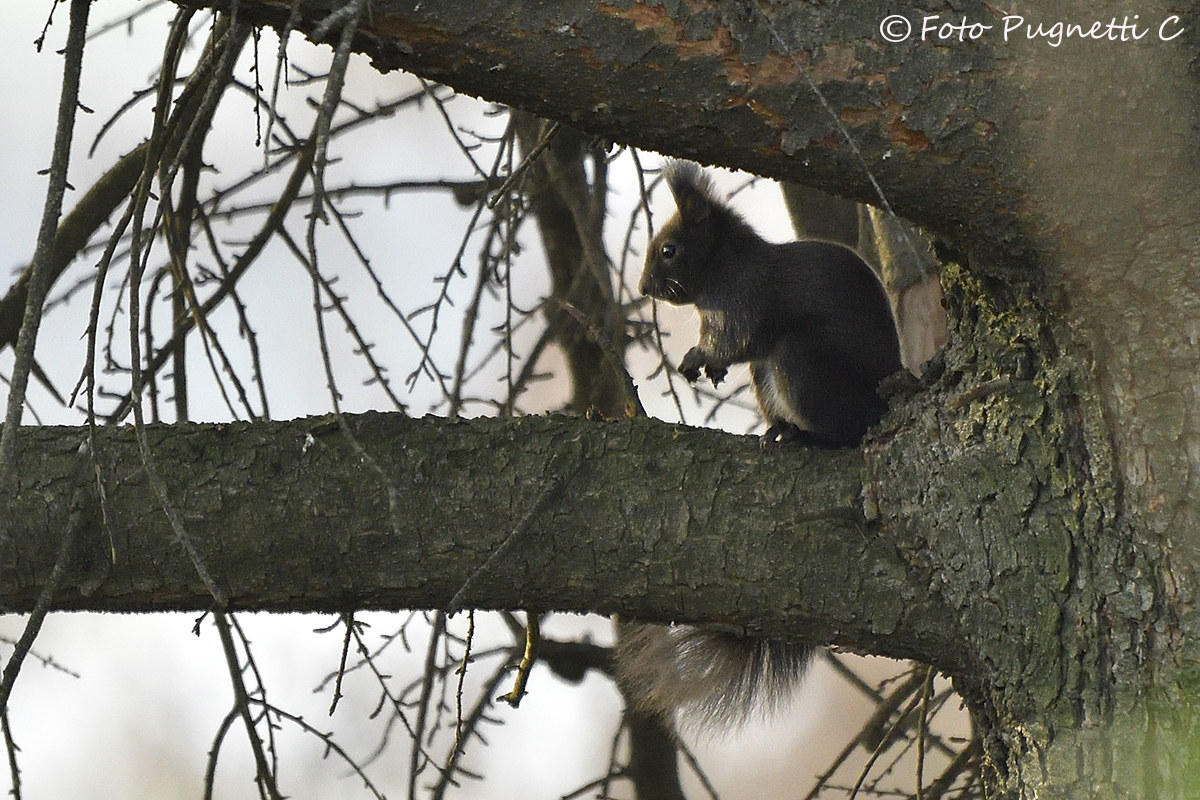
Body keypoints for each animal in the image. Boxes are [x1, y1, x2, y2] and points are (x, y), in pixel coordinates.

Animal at [618, 161, 902, 727]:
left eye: (669, 249)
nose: (642, 285)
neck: (721, 274)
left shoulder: (745, 304)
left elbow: (737, 339)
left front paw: (698, 358)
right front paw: (704, 365)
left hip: (801, 365)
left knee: (845, 428)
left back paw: (809, 436)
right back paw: (779, 432)